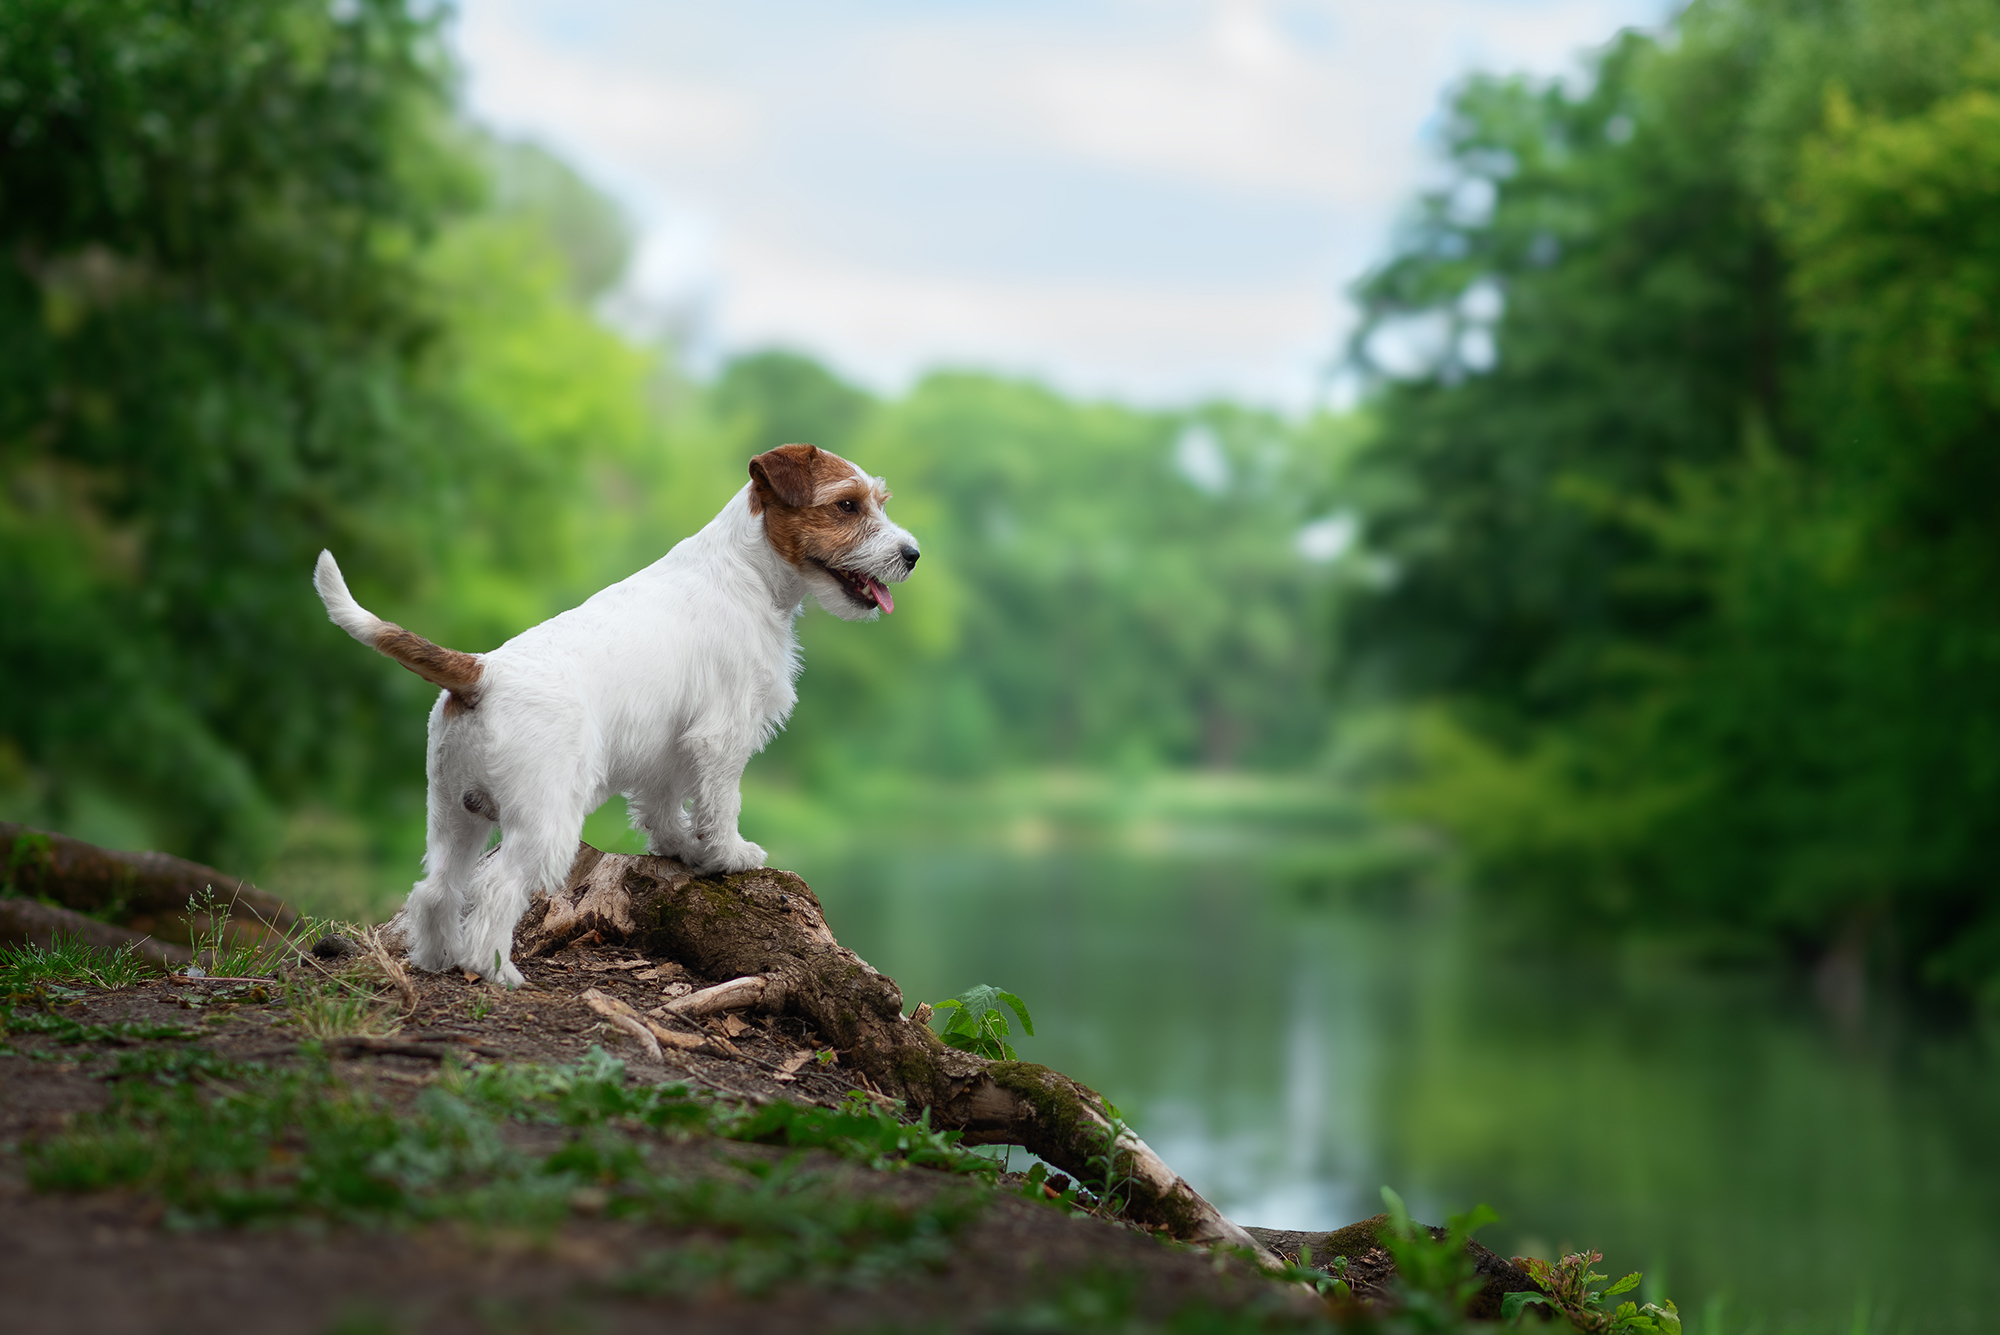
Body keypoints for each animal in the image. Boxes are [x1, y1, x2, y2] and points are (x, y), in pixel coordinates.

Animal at [308, 443, 916, 987]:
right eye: (847, 506)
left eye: (879, 502)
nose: (911, 554)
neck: (745, 570)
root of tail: (481, 672)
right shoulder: (721, 736)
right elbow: (722, 804)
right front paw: (728, 855)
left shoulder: (669, 747)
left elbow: (663, 807)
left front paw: (682, 849)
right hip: (544, 825)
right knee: (496, 889)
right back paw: (497, 971)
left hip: (454, 816)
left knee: (436, 889)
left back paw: (437, 960)